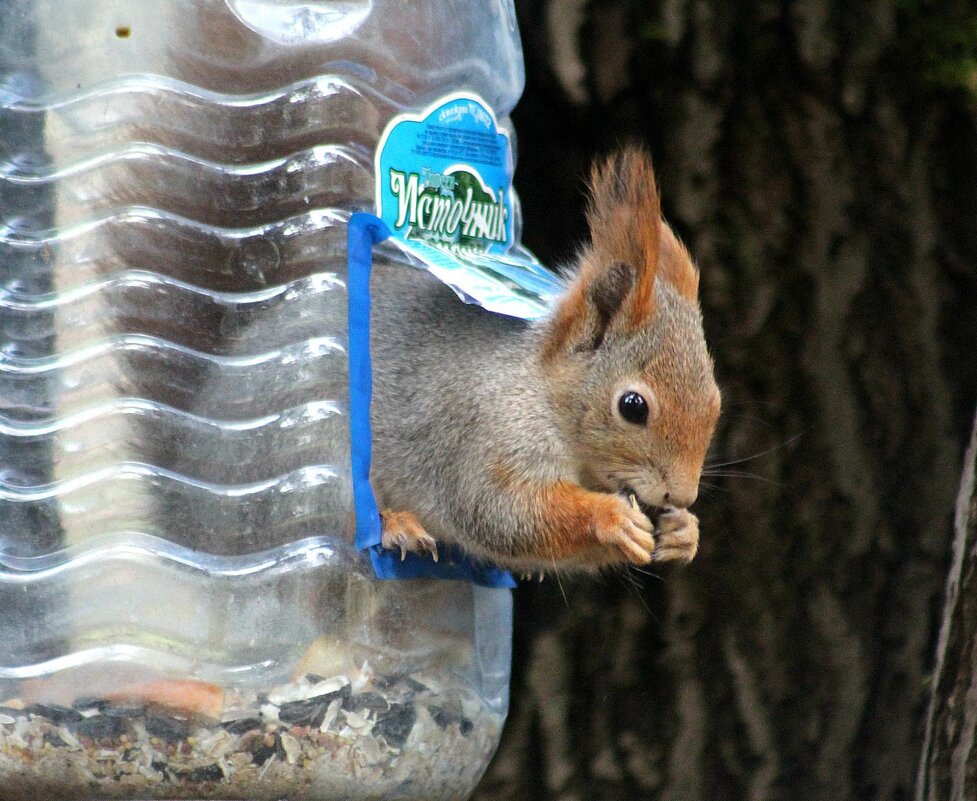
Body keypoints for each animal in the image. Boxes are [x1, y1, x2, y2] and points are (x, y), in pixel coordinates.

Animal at [370, 147, 720, 572]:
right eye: (633, 407)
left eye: (717, 403)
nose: (682, 497)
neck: (544, 393)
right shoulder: (483, 439)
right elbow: (501, 510)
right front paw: (610, 516)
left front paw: (685, 531)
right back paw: (396, 525)